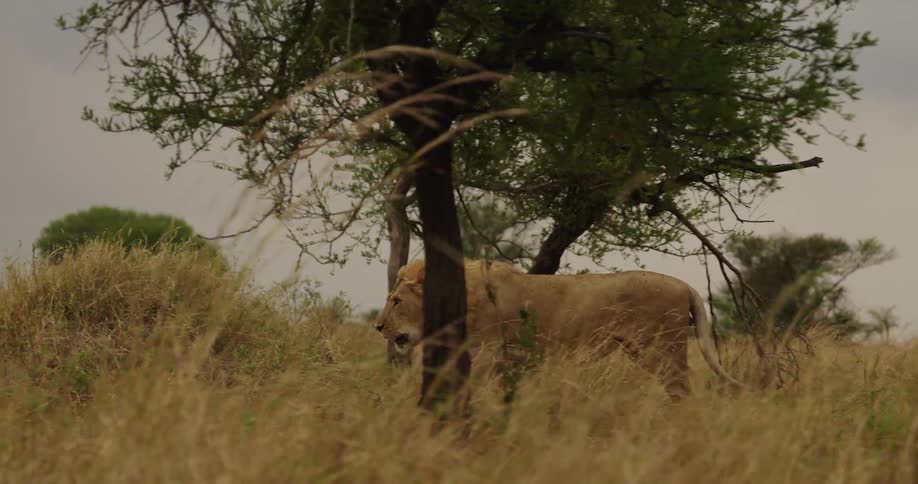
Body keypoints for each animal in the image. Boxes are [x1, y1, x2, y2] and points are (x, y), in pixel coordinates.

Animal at [375, 259, 743, 400]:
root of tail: (684, 285)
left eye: (396, 300)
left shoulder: (486, 356)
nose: (378, 327)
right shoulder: (504, 362)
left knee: (682, 390)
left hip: (663, 350)